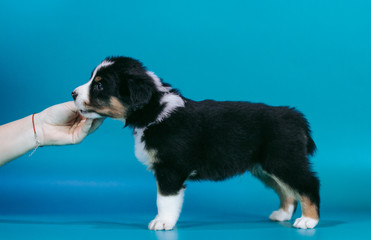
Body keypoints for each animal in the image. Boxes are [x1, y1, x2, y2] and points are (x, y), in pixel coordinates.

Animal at [72, 56, 320, 231]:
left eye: (100, 86)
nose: (73, 93)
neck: (155, 112)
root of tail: (294, 116)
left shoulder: (171, 168)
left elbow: (164, 199)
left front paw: (162, 222)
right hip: (265, 167)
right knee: (287, 190)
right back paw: (282, 214)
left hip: (283, 160)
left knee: (308, 184)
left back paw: (308, 220)